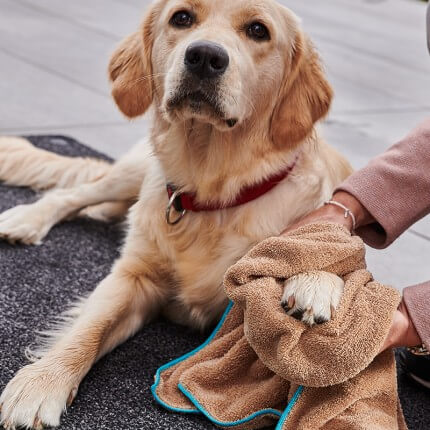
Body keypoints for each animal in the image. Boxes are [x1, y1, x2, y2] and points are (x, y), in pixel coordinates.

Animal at [0, 0, 350, 426]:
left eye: (258, 30)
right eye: (182, 18)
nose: (205, 57)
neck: (213, 196)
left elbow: (324, 240)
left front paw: (316, 280)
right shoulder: (134, 277)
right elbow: (89, 328)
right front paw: (41, 383)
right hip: (136, 170)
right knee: (73, 193)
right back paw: (25, 219)